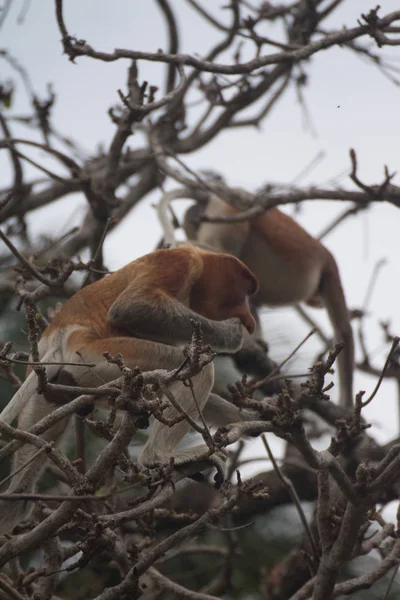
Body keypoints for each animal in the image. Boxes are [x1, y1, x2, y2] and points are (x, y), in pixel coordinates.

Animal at [0, 245, 260, 536]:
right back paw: (159, 456)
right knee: (198, 370)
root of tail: (56, 338)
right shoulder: (179, 262)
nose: (249, 319)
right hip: (98, 356)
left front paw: (251, 419)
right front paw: (233, 333)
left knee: (21, 491)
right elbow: (131, 309)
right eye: (245, 289)